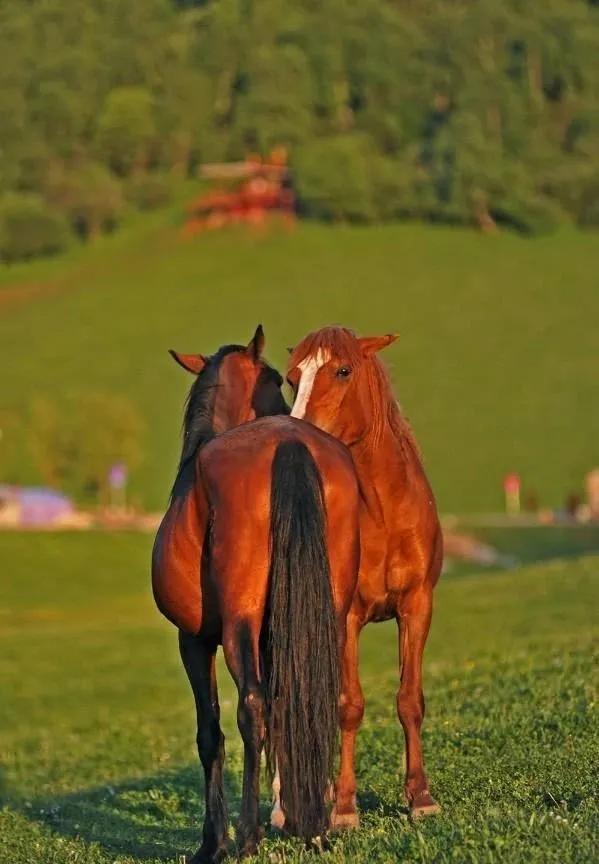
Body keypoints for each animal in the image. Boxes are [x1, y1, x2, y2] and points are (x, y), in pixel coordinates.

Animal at [152, 328, 360, 860]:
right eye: (280, 380)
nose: (293, 410)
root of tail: (287, 441)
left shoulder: (193, 639)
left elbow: (211, 732)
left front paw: (213, 841)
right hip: (326, 615)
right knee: (310, 700)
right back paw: (315, 826)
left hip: (238, 627)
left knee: (253, 707)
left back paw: (247, 835)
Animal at [284, 328, 442, 828]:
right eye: (293, 377)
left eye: (343, 370)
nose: (297, 430)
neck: (384, 515)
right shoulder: (346, 618)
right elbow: (348, 707)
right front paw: (345, 807)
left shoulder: (416, 607)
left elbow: (410, 700)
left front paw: (421, 797)